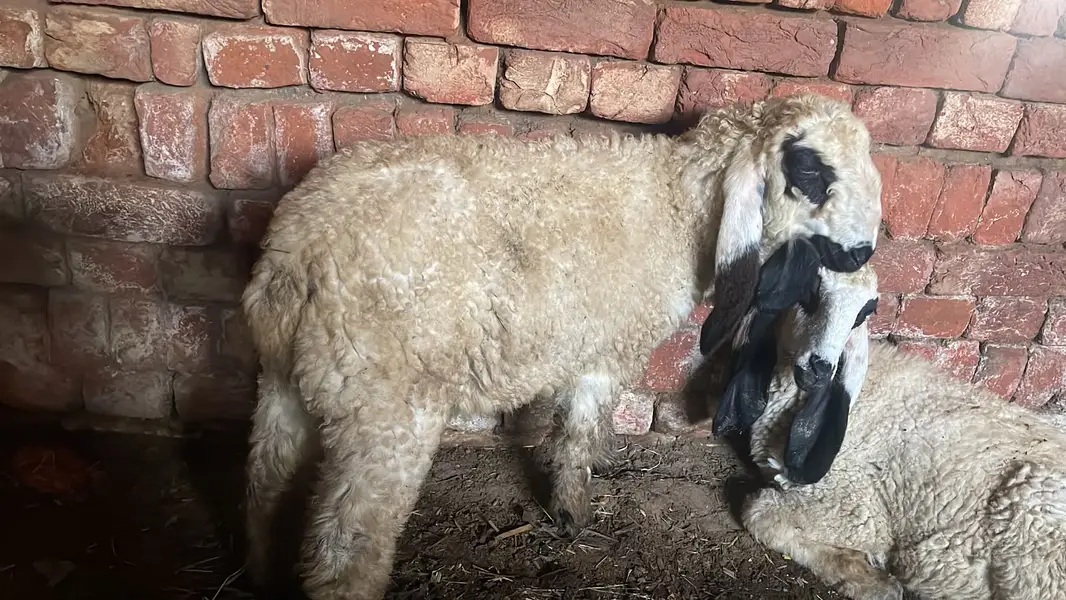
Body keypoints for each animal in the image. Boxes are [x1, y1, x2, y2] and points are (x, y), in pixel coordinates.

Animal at [239, 93, 884, 600]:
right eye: (810, 171)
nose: (862, 252)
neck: (676, 209)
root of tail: (299, 251)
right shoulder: (604, 353)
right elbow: (578, 433)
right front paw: (573, 513)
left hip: (288, 381)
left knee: (265, 485)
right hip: (384, 408)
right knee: (344, 557)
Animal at [732, 270, 1066, 600]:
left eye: (863, 313)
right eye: (809, 293)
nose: (820, 367)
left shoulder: (855, 505)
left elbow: (758, 511)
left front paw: (871, 580)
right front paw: (867, 576)